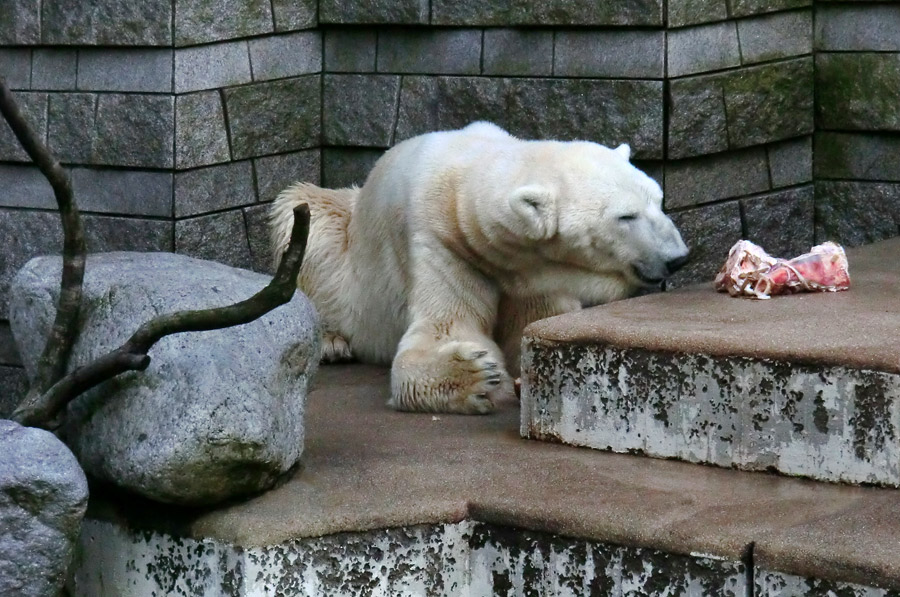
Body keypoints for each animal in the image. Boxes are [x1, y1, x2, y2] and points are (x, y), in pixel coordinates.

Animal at [268, 120, 688, 410]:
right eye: (626, 216)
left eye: (658, 199)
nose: (678, 257)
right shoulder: (442, 244)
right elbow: (445, 329)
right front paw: (476, 374)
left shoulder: (533, 274)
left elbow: (535, 326)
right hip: (344, 241)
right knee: (306, 216)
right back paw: (331, 342)